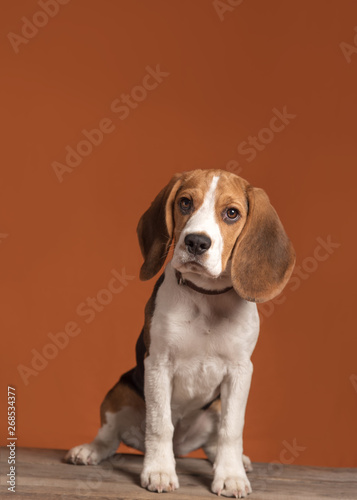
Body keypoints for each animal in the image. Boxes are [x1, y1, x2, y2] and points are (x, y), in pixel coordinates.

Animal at [66, 170, 294, 498]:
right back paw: (89, 450)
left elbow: (231, 430)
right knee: (109, 438)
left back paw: (236, 460)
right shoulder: (158, 363)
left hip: (215, 405)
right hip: (119, 391)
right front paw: (159, 471)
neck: (206, 298)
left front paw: (231, 475)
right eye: (185, 202)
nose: (196, 242)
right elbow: (160, 425)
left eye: (232, 213)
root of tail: (183, 446)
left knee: (213, 441)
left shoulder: (240, 371)